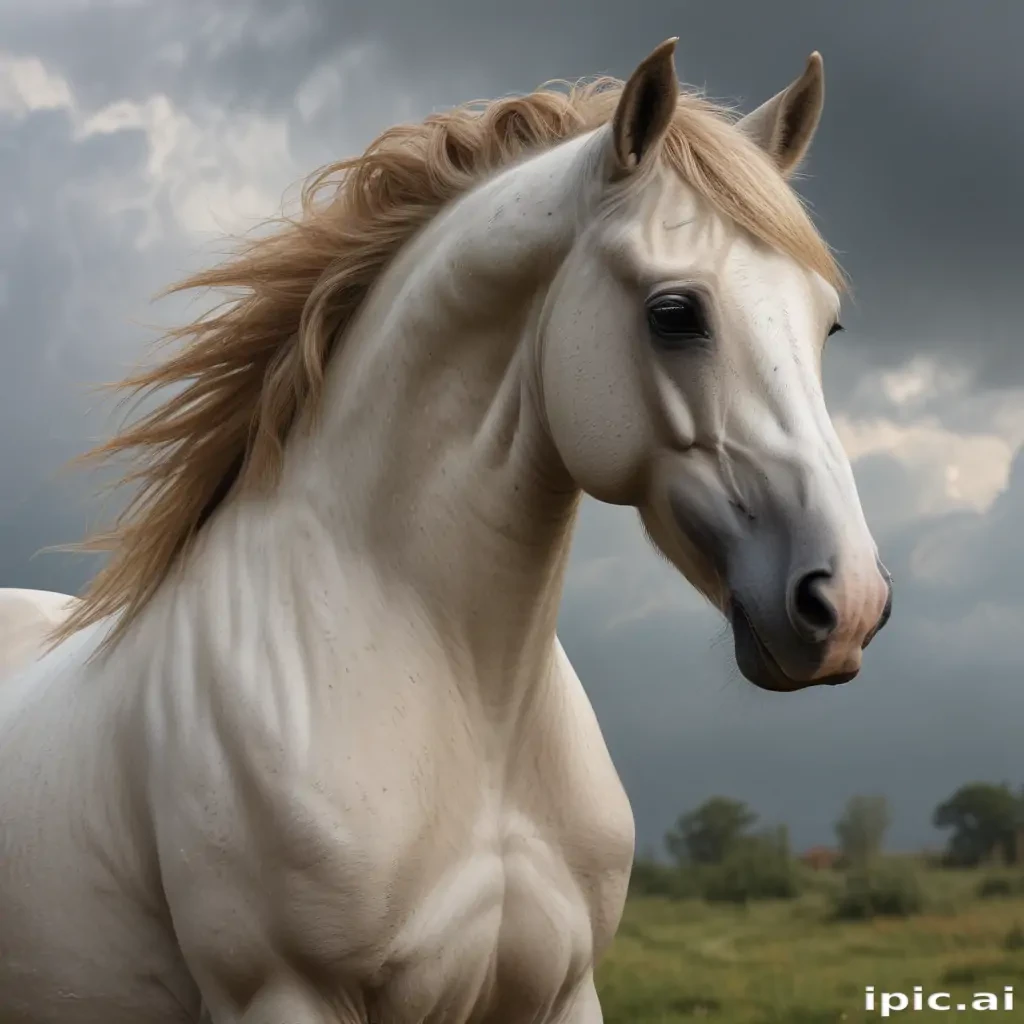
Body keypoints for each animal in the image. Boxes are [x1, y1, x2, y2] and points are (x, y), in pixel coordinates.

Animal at [0, 40, 892, 1024]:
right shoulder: (283, 993)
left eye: (828, 323)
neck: (477, 715)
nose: (847, 601)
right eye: (674, 312)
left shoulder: (563, 994)